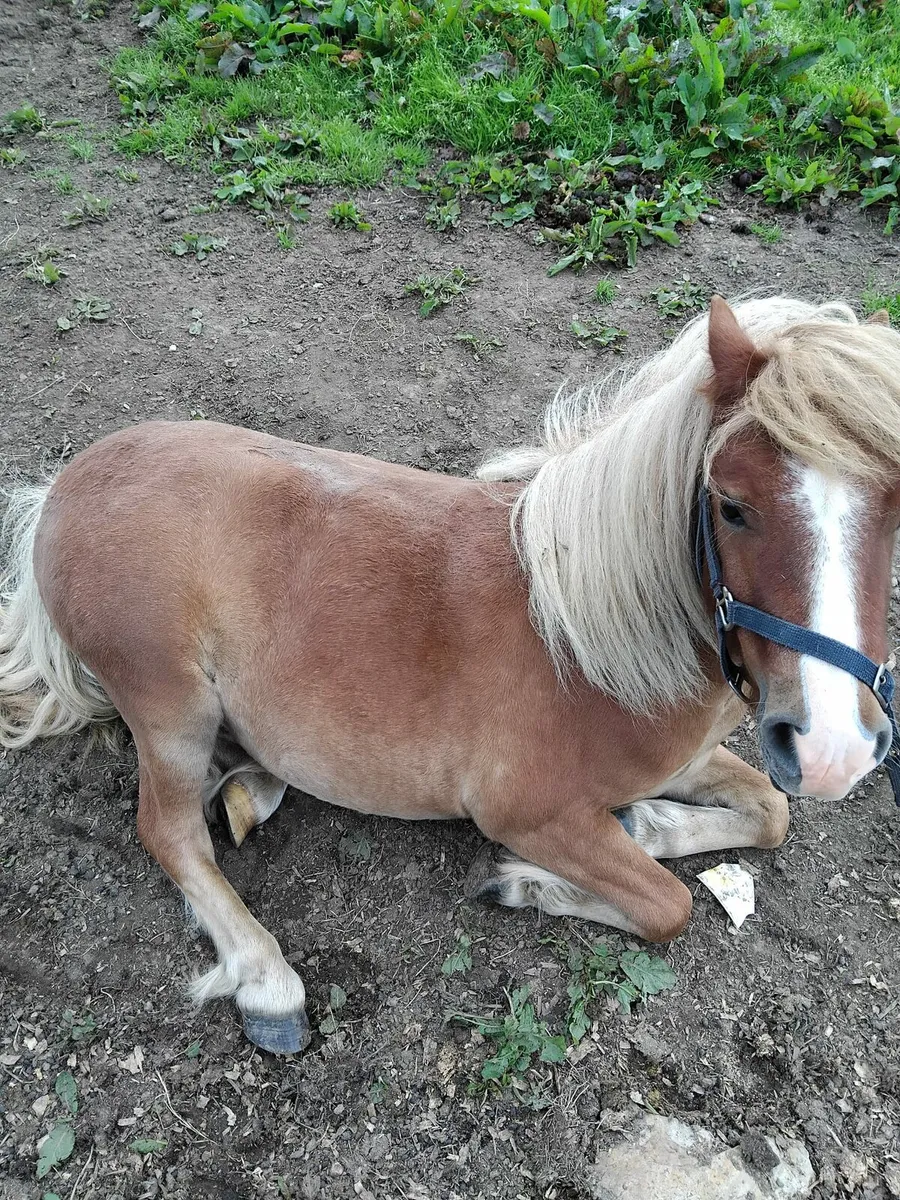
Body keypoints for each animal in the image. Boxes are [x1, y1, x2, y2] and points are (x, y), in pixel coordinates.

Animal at [2, 296, 900, 1055]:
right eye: (732, 505)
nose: (834, 751)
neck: (589, 636)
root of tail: (60, 491)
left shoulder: (689, 760)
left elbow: (771, 813)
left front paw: (652, 825)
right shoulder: (528, 812)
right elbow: (667, 905)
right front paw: (530, 885)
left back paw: (252, 782)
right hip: (170, 704)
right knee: (170, 829)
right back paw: (266, 978)